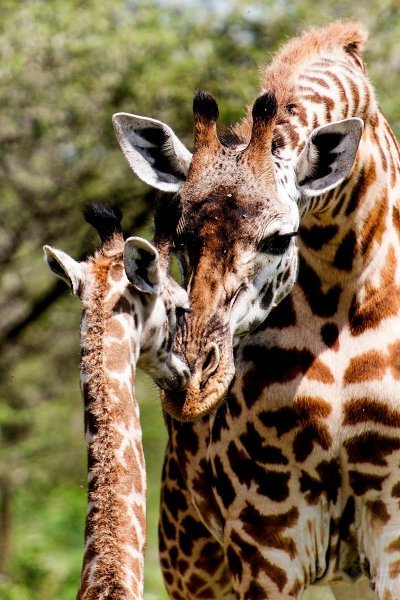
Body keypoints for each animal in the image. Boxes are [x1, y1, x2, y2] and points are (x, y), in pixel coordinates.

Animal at [111, 22, 400, 600]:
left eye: (281, 238)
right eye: (178, 236)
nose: (192, 384)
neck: (343, 291)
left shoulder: (391, 526)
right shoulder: (264, 535)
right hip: (188, 552)